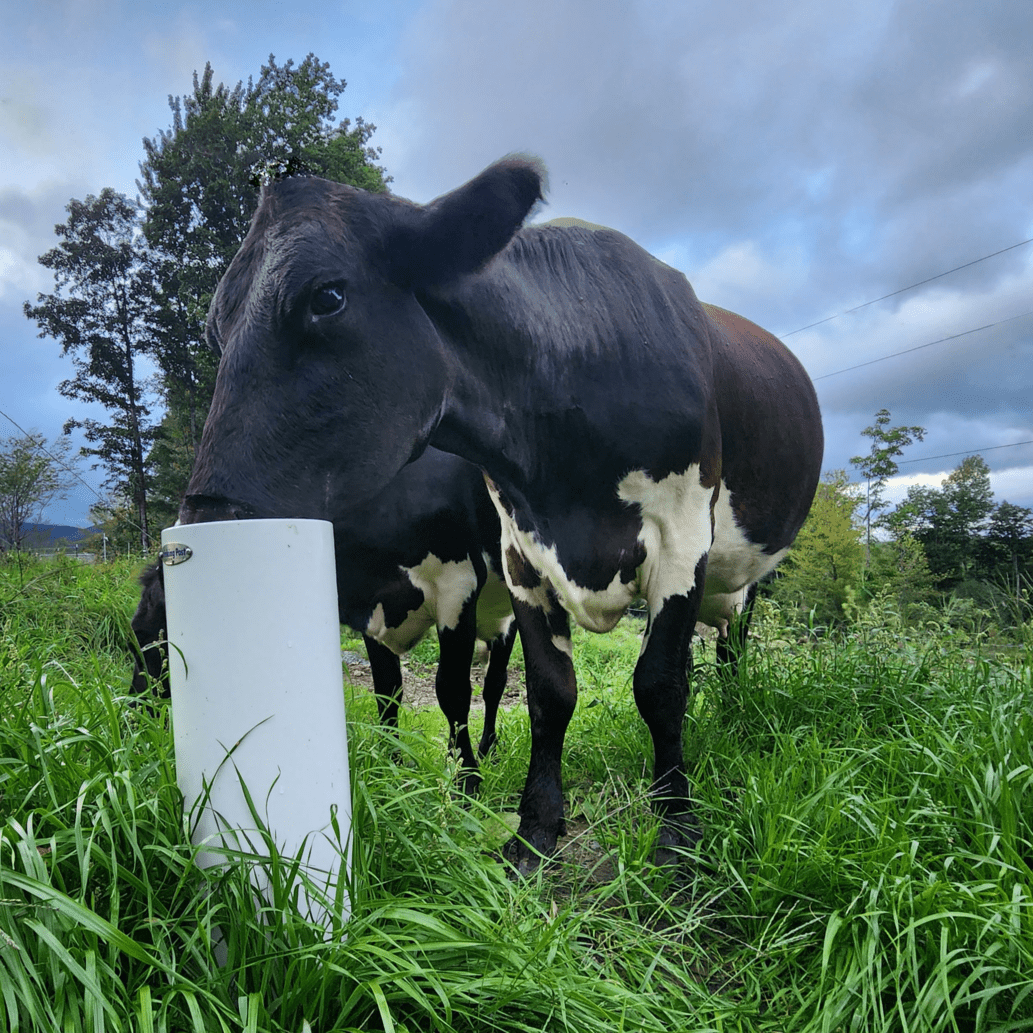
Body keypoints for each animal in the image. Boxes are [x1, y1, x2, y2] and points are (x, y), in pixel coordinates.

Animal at [130, 444, 516, 789]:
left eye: (148, 637)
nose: (132, 717)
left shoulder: (457, 585)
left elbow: (452, 691)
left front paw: (467, 781)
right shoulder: (373, 613)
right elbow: (387, 692)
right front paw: (390, 764)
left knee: (494, 685)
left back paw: (489, 750)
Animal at [177, 159, 822, 871]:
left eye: (328, 296)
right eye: (213, 329)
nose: (207, 515)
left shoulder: (674, 538)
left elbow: (658, 685)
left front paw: (676, 826)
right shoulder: (516, 556)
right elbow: (540, 693)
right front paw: (533, 826)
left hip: (745, 578)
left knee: (732, 651)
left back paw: (733, 718)